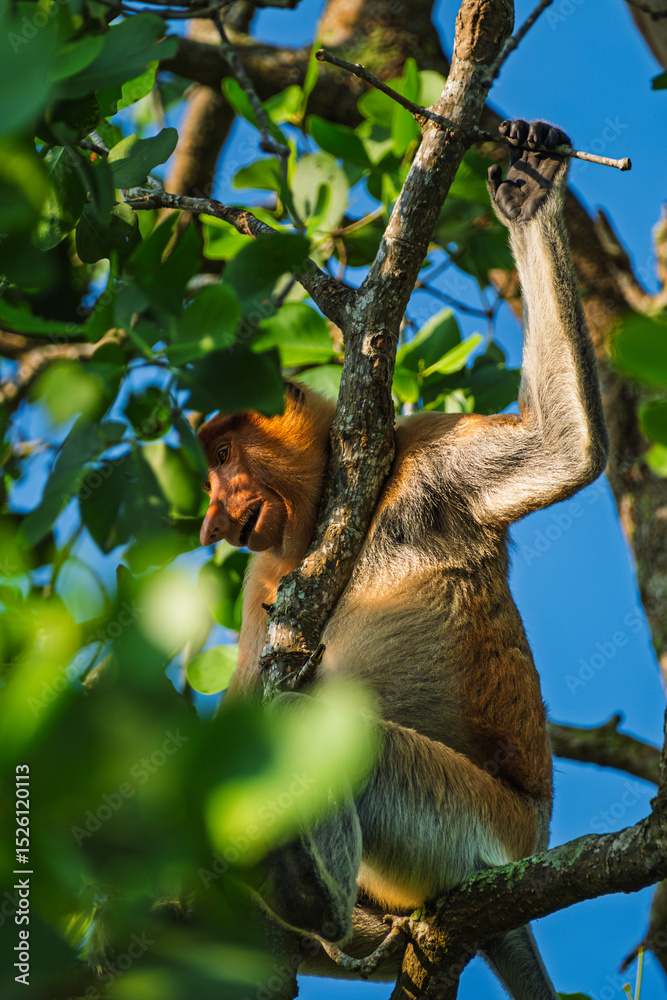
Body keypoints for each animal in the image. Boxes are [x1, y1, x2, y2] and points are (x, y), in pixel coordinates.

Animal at [198, 120, 609, 999]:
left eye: (220, 453)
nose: (213, 517)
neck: (335, 504)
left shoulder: (430, 455)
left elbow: (564, 448)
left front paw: (528, 189)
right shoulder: (262, 577)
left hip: (481, 829)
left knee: (349, 738)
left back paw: (308, 894)